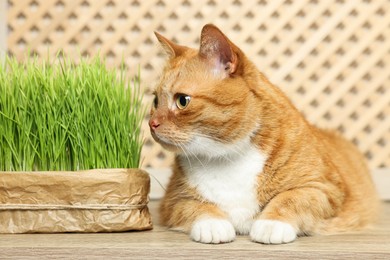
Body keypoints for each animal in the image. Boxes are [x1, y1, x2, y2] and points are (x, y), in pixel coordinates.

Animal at [149, 23, 378, 244]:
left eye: (182, 100)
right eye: (155, 100)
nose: (152, 123)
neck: (226, 158)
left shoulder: (324, 188)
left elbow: (291, 198)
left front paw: (272, 224)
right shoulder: (173, 200)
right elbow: (196, 206)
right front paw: (212, 224)